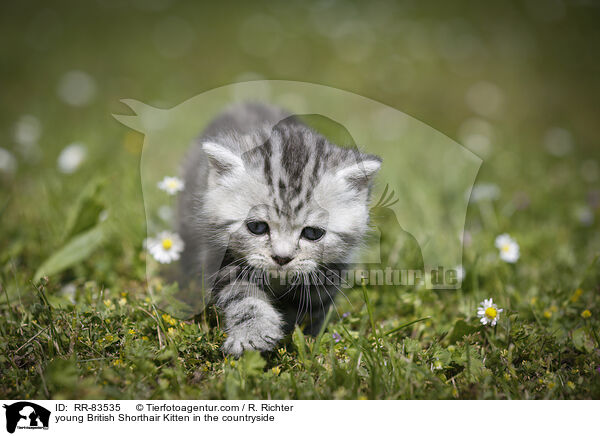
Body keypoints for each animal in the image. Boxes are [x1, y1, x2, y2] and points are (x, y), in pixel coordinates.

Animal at [178, 104, 382, 356]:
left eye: (312, 233)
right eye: (257, 227)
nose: (282, 258)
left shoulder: (329, 271)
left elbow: (312, 308)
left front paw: (306, 339)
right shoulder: (218, 257)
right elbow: (242, 295)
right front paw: (253, 334)